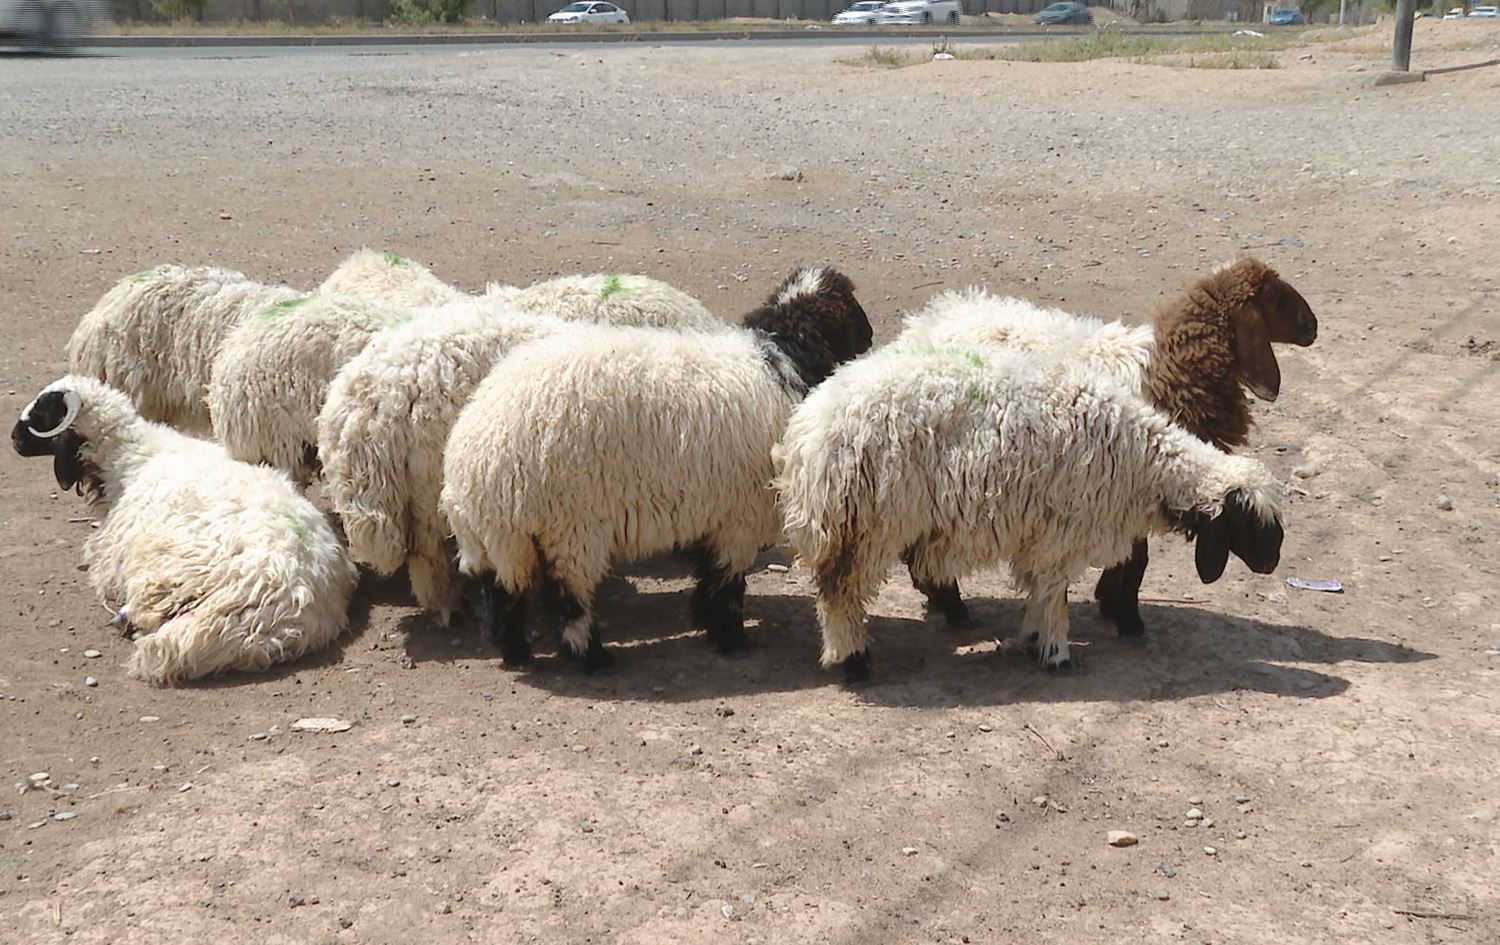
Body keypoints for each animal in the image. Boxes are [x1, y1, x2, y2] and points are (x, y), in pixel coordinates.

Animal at [318, 274, 725, 624]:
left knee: (422, 552)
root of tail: (369, 403)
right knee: (429, 552)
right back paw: (450, 603)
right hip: (430, 482)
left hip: (416, 491)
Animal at [439, 267, 872, 672]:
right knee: (568, 597)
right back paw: (591, 657)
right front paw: (730, 637)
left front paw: (706, 621)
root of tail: (474, 460)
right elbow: (726, 581)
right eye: (851, 311)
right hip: (571, 525)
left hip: (510, 537)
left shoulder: (716, 507)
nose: (870, 338)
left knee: (503, 591)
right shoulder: (739, 516)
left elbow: (708, 571)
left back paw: (516, 652)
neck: (781, 361)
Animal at [773, 345, 1285, 682]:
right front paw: (1056, 654)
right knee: (840, 595)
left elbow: (1042, 591)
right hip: (862, 525)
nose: (1271, 564)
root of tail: (806, 434)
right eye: (1252, 521)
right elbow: (1055, 595)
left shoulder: (1043, 535)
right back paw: (854, 662)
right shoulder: (1061, 533)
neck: (1143, 463)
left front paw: (1038, 640)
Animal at [893, 257, 1316, 638]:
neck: (1168, 372)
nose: (1312, 326)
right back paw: (951, 605)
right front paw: (1126, 617)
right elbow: (1137, 558)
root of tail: (924, 320)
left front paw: (1111, 603)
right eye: (1275, 300)